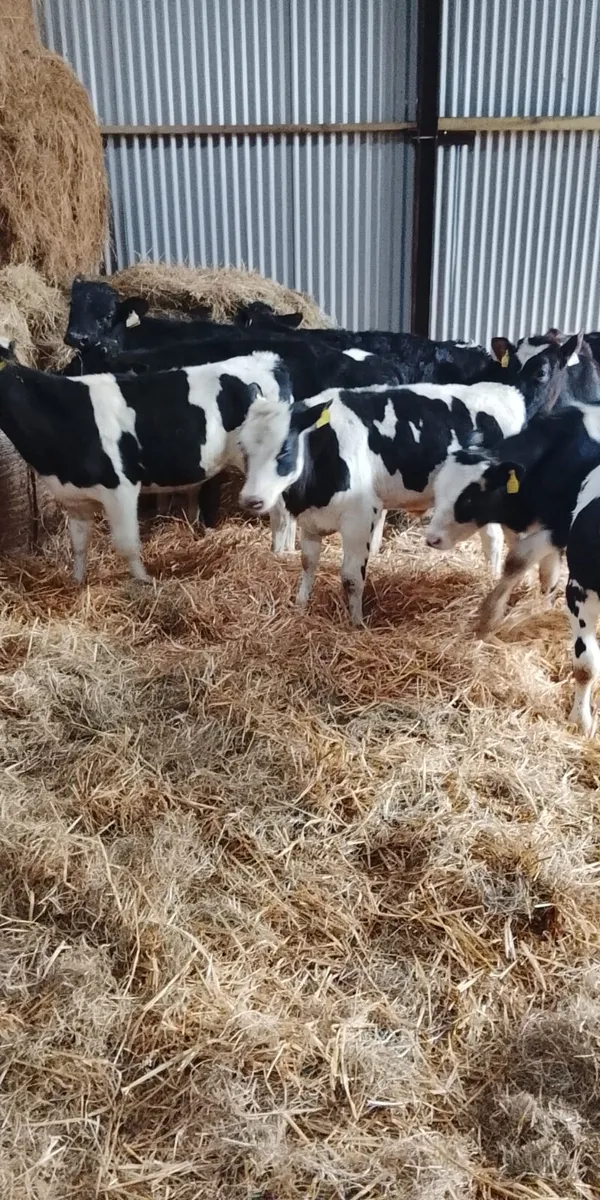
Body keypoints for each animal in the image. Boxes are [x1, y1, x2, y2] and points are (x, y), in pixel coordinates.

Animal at [0, 346, 293, 582]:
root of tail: (269, 360)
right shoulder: (74, 497)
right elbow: (79, 545)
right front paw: (77, 582)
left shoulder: (121, 488)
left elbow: (128, 544)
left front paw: (144, 582)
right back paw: (286, 551)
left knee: (280, 511)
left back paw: (277, 554)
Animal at [236, 339, 575, 625]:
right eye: (243, 448)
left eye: (285, 449)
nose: (252, 500)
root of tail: (504, 391)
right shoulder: (310, 520)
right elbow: (308, 563)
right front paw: (300, 605)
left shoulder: (359, 517)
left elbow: (350, 577)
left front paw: (356, 624)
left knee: (495, 539)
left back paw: (493, 580)